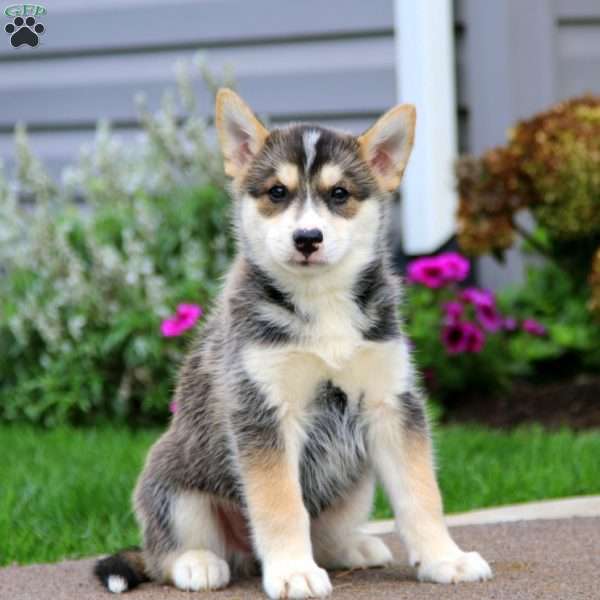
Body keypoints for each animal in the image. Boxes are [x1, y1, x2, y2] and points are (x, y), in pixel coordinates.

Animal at [95, 86, 492, 596]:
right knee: (164, 551)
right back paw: (197, 563)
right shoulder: (265, 412)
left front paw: (446, 558)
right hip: (175, 486)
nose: (307, 238)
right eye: (277, 192)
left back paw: (353, 548)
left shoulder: (391, 403)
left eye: (339, 194)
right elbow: (281, 506)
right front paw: (293, 572)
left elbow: (422, 494)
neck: (321, 304)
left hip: (355, 482)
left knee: (328, 533)